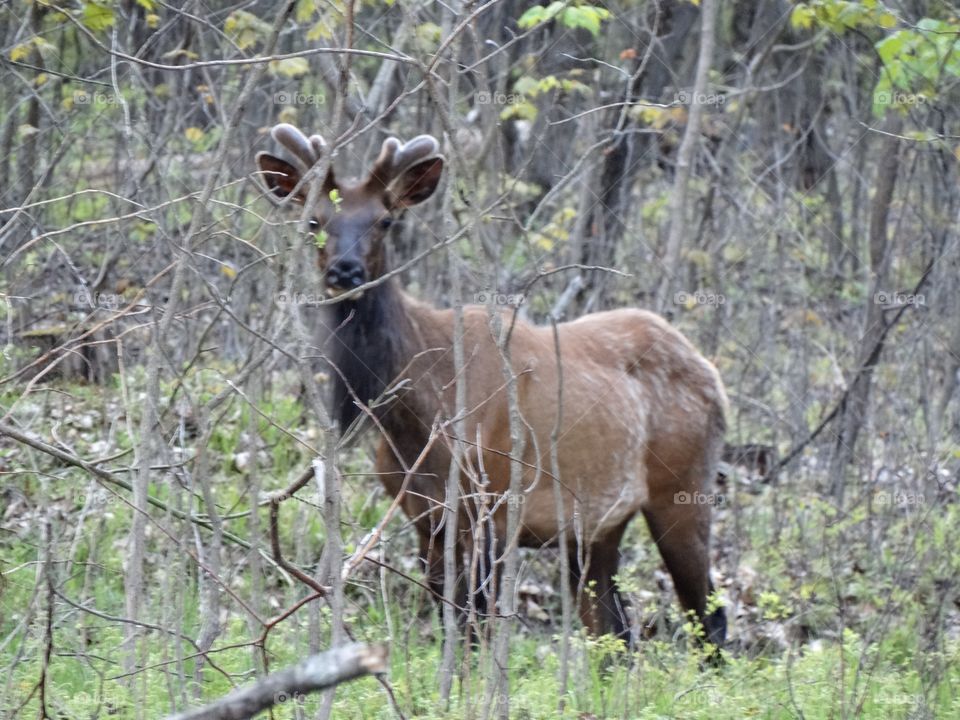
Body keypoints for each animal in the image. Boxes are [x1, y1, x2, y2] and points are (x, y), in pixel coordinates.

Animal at [255, 123, 728, 648]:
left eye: (386, 221)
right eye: (314, 221)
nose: (345, 270)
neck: (416, 416)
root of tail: (710, 372)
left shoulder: (493, 503)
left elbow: (476, 625)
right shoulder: (423, 514)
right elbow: (447, 617)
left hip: (684, 488)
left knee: (710, 618)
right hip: (600, 526)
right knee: (614, 627)